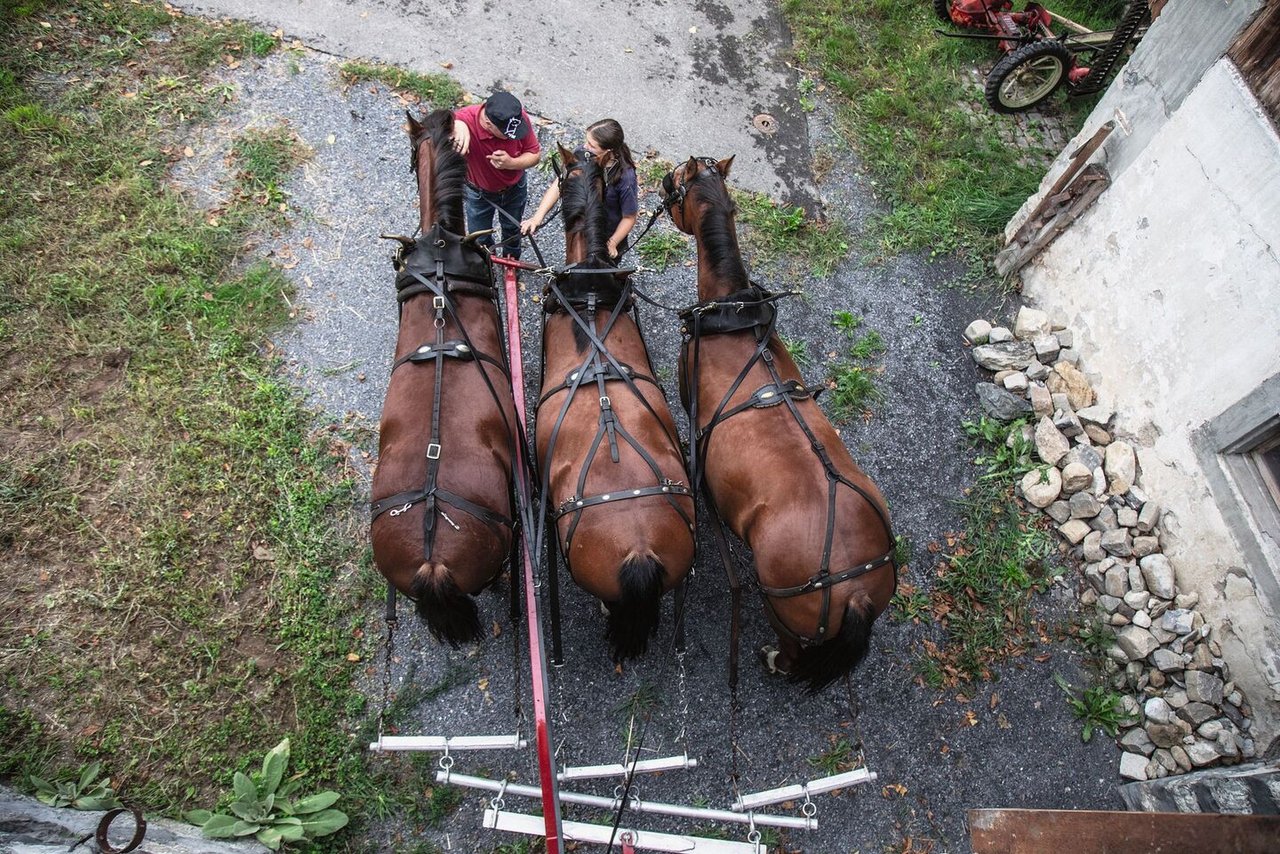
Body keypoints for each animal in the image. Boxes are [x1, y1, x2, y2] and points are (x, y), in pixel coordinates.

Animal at [665, 156, 896, 696]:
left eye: (676, 184)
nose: (660, 187)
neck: (733, 315)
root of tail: (854, 591)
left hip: (782, 612)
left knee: (791, 653)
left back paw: (774, 660)